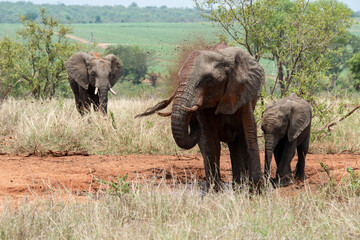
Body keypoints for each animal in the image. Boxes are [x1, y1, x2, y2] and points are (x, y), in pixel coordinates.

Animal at [135, 43, 264, 189]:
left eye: (208, 79)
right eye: (179, 78)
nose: (192, 116)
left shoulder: (243, 94)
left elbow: (249, 135)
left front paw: (256, 190)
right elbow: (210, 142)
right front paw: (214, 190)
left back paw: (240, 186)